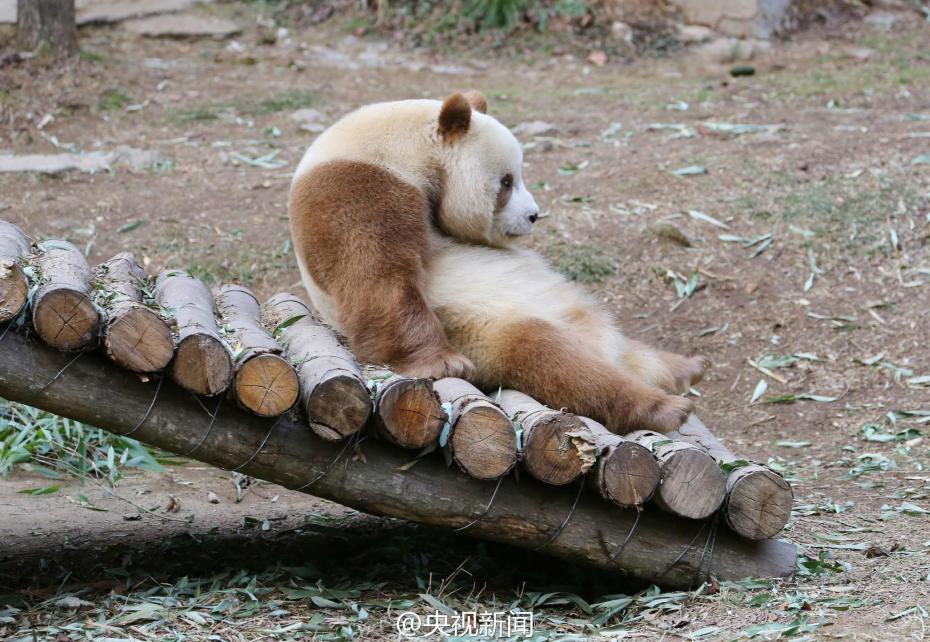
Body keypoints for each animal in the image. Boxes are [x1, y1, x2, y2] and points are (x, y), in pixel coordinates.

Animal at [288, 91, 708, 434]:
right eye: (506, 182)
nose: (534, 215)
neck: (402, 147)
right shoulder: (359, 186)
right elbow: (380, 277)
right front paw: (443, 365)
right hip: (486, 331)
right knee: (557, 360)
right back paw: (664, 408)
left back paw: (684, 368)